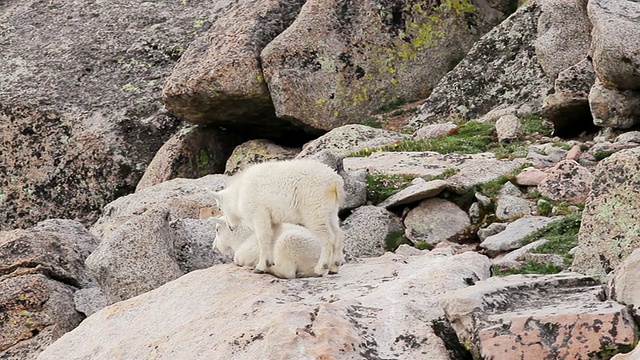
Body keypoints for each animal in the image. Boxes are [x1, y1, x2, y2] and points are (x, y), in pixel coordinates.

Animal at [211, 160, 344, 276]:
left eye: (219, 208)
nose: (230, 227)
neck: (239, 192)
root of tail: (335, 182)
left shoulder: (259, 212)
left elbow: (263, 237)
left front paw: (260, 267)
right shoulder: (274, 218)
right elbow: (272, 236)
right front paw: (267, 263)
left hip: (314, 207)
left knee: (327, 237)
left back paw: (321, 268)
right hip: (331, 210)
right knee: (337, 234)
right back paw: (334, 267)